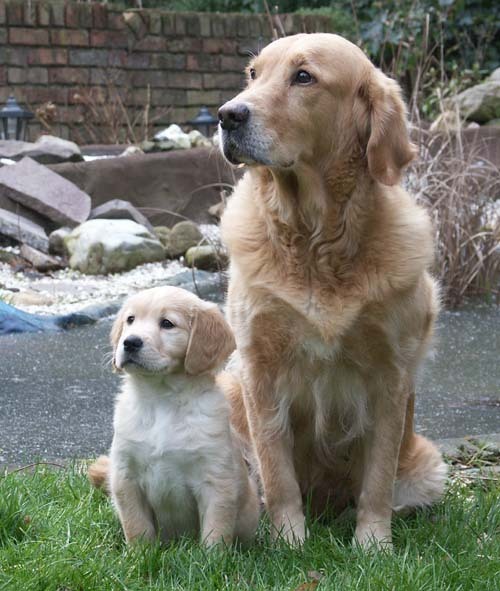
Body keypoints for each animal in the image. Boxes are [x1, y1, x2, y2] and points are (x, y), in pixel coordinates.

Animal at [90, 286, 260, 544]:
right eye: (130, 320)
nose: (130, 342)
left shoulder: (216, 481)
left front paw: (213, 555)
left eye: (167, 323)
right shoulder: (125, 477)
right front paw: (140, 553)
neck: (162, 400)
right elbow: (136, 526)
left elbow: (215, 531)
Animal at [217, 33, 448, 552]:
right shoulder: (260, 370)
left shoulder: (389, 376)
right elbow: (278, 474)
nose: (227, 115)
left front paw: (373, 545)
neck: (316, 243)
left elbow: (377, 479)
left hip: (428, 465)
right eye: (253, 75)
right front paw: (289, 541)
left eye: (304, 77)